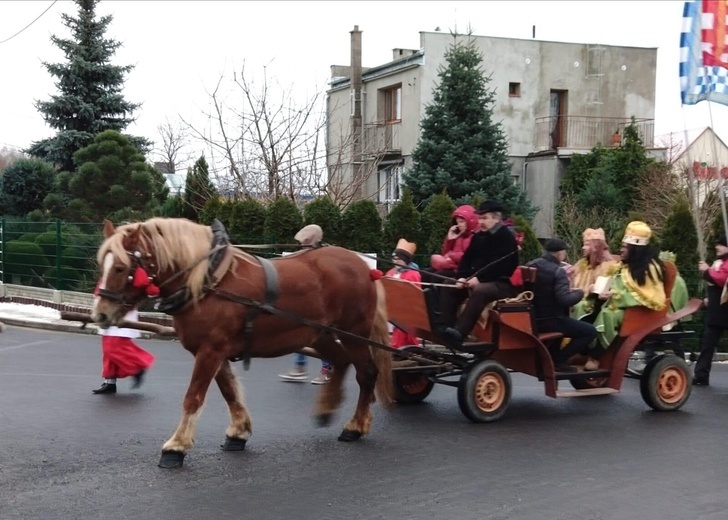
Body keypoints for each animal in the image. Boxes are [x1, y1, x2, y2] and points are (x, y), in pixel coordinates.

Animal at [94, 217, 396, 470]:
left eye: (120, 267)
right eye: (102, 265)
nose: (101, 315)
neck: (209, 280)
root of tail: (363, 266)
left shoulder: (211, 350)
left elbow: (193, 397)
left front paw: (176, 447)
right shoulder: (215, 351)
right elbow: (229, 391)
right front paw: (238, 432)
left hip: (353, 333)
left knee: (366, 373)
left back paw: (355, 426)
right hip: (319, 334)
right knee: (340, 361)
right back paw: (327, 407)